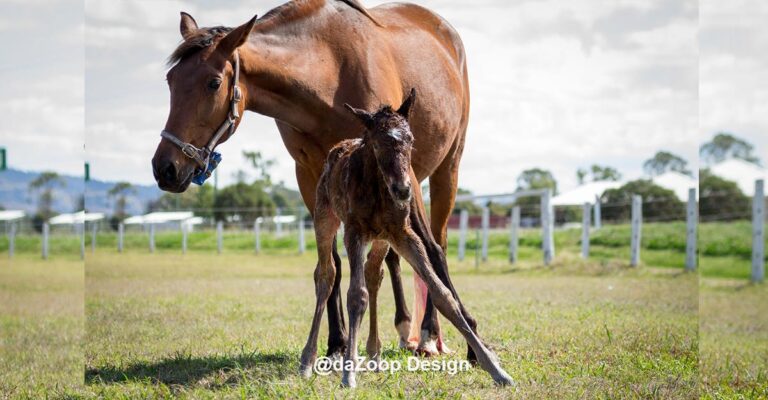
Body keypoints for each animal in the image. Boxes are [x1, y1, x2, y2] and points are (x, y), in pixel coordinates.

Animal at [151, 0, 469, 360]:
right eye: (171, 80)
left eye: (214, 83)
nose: (166, 168)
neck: (328, 72)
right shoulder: (310, 175)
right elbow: (331, 262)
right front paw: (337, 343)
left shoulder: (405, 171)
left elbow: (430, 251)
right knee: (388, 257)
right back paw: (402, 329)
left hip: (447, 169)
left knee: (438, 242)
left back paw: (428, 334)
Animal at [302, 89, 512, 387]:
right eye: (378, 143)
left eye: (410, 140)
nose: (403, 190)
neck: (378, 190)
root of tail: (336, 148)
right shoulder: (354, 232)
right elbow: (356, 296)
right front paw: (348, 374)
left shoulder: (402, 234)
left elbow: (442, 293)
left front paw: (495, 368)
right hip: (325, 217)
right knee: (326, 274)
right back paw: (308, 360)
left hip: (381, 239)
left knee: (373, 274)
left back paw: (375, 355)